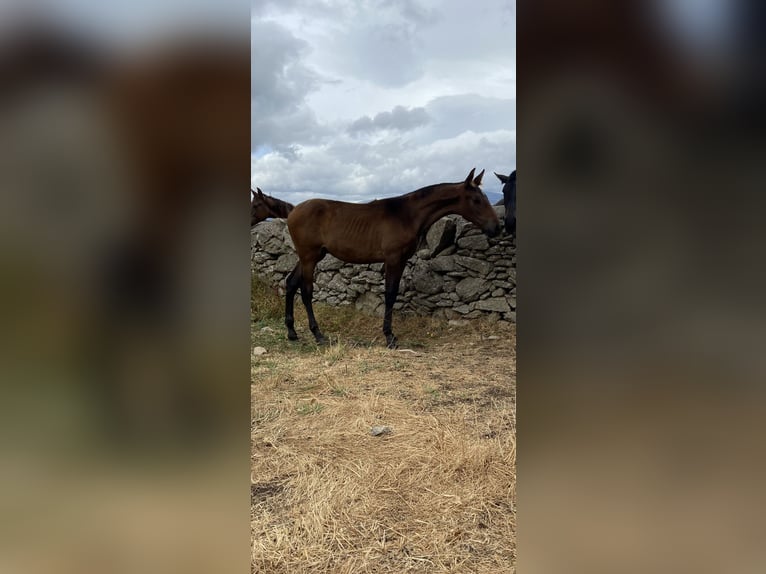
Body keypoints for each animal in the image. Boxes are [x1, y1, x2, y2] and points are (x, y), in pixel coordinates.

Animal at [284, 169, 500, 348]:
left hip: (310, 256)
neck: (406, 215)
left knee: (291, 283)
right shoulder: (393, 259)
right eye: (476, 200)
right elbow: (389, 294)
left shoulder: (401, 260)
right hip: (309, 257)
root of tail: (292, 211)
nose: (496, 227)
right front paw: (389, 337)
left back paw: (292, 332)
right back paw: (317, 334)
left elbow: (392, 294)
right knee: (306, 291)